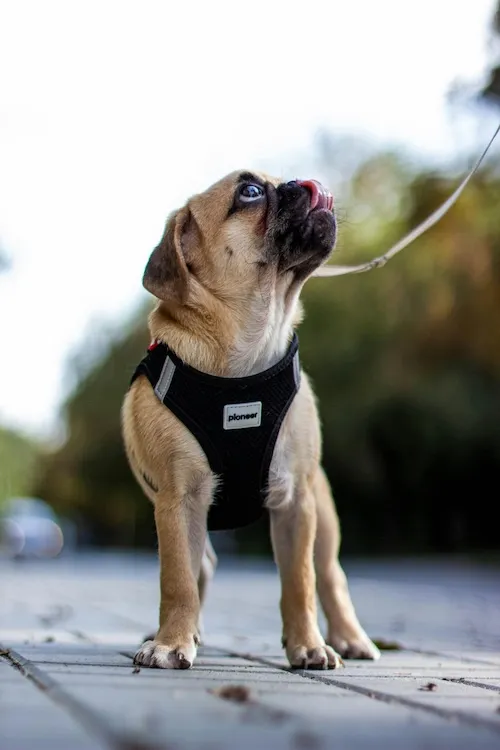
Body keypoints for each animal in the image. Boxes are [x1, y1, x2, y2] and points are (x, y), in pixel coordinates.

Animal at [121, 169, 378, 668]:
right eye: (251, 192)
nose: (307, 182)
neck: (246, 352)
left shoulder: (297, 501)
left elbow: (300, 583)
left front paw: (307, 646)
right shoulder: (178, 499)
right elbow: (177, 580)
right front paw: (170, 642)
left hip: (322, 511)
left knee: (329, 574)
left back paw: (348, 637)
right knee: (200, 568)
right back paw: (189, 632)